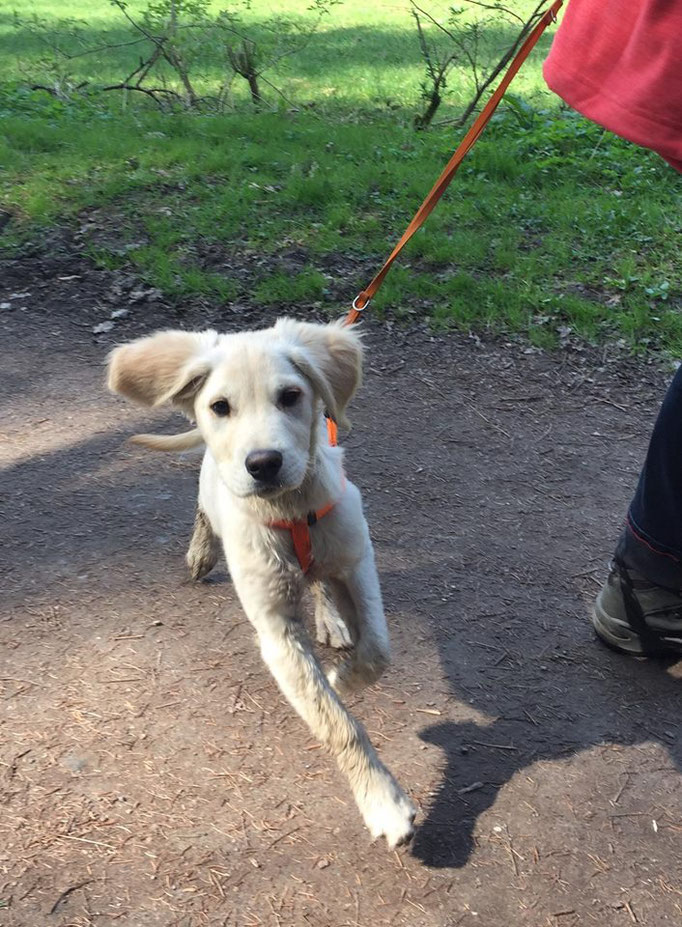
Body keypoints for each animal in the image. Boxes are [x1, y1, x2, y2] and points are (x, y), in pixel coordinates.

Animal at [106, 320, 414, 848]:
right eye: (220, 407)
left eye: (291, 396)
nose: (264, 463)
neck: (291, 511)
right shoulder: (276, 630)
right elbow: (337, 723)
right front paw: (383, 801)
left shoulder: (357, 561)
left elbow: (377, 650)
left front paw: (344, 674)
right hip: (212, 488)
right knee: (204, 507)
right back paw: (202, 552)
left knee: (322, 583)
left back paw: (330, 617)